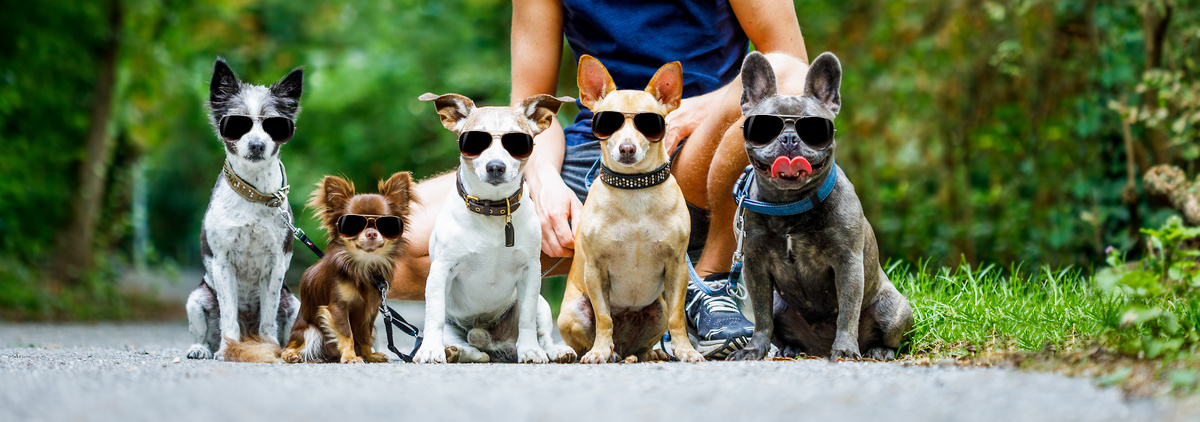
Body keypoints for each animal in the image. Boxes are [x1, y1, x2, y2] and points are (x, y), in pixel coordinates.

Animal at [186, 57, 304, 359]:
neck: (254, 193)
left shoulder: (276, 263)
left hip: (294, 303)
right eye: (238, 123)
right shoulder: (222, 262)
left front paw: (269, 346)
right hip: (197, 299)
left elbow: (268, 316)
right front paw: (228, 349)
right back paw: (201, 348)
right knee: (204, 334)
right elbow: (228, 313)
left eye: (273, 125)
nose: (257, 145)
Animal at [274, 171, 415, 362]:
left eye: (387, 224)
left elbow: (363, 335)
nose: (371, 233)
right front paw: (350, 356)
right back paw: (293, 355)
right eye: (353, 224)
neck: (363, 266)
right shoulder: (337, 308)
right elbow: (347, 334)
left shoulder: (369, 311)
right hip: (310, 331)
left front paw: (368, 355)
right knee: (288, 347)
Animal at [559, 55, 705, 362]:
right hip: (572, 312)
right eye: (607, 122)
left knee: (644, 342)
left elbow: (678, 317)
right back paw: (592, 352)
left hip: (657, 309)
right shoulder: (595, 269)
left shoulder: (677, 267)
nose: (627, 148)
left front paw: (685, 350)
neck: (634, 188)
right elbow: (604, 318)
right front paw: (599, 351)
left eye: (649, 123)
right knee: (588, 340)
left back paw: (648, 354)